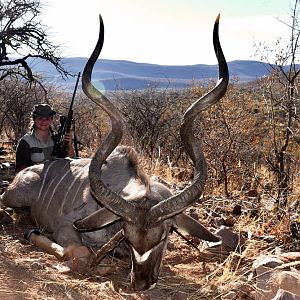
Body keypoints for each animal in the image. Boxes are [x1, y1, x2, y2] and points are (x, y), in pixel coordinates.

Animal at [1, 14, 229, 290]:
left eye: (164, 236)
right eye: (127, 236)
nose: (142, 282)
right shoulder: (66, 228)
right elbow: (79, 251)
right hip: (15, 197)